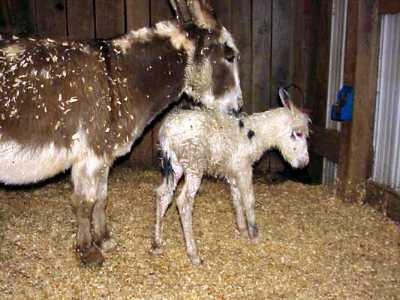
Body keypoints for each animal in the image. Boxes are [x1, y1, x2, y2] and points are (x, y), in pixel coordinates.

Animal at [152, 88, 310, 264]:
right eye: (298, 134)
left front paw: (242, 230)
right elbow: (249, 200)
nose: (304, 162)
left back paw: (157, 243)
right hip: (194, 166)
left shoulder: (234, 174)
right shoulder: (244, 168)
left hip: (176, 165)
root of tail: (167, 130)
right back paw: (193, 254)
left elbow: (237, 200)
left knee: (163, 195)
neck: (255, 134)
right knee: (184, 202)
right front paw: (254, 234)